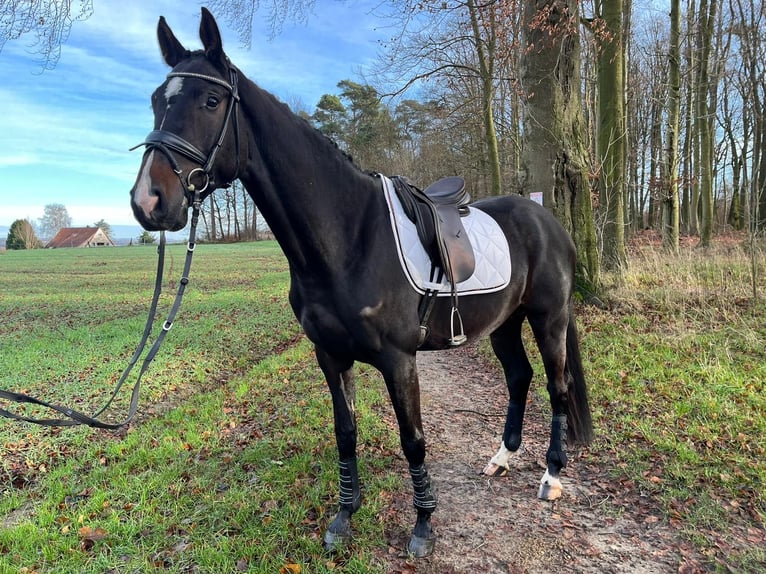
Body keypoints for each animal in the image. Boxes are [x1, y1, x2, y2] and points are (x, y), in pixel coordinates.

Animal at [129, 7, 596, 560]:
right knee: (519, 379)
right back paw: (501, 458)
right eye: (157, 101)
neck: (348, 238)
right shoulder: (331, 356)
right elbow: (345, 432)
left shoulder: (399, 360)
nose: (148, 201)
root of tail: (548, 221)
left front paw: (423, 527)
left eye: (211, 100)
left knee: (556, 386)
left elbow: (413, 440)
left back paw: (551, 477)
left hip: (549, 319)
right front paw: (344, 516)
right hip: (504, 323)